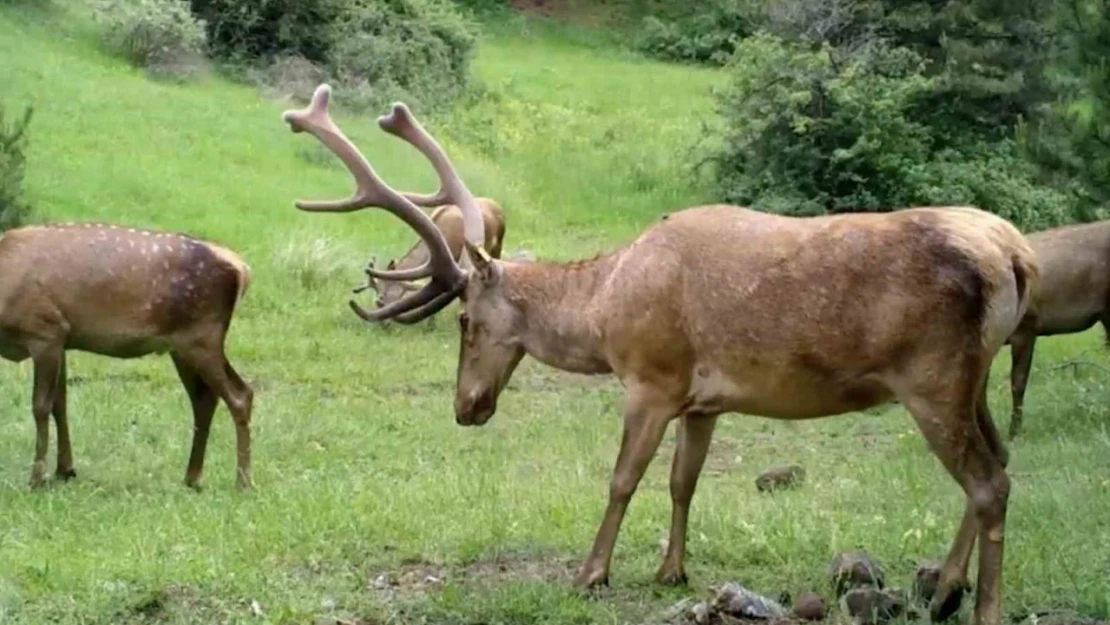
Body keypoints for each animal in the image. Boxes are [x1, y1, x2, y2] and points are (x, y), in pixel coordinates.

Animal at [0, 222, 254, 490]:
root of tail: (243, 270)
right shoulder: (62, 340)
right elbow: (60, 404)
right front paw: (64, 470)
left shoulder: (45, 331)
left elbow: (40, 407)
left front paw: (37, 479)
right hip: (183, 345)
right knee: (205, 398)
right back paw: (192, 478)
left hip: (202, 336)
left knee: (239, 395)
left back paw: (243, 482)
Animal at [284, 84, 1038, 625]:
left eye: (466, 320)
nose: (466, 408)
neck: (605, 309)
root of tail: (1016, 255)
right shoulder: (702, 398)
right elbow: (683, 481)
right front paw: (671, 568)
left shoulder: (651, 376)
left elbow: (623, 478)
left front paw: (592, 573)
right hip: (972, 377)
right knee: (1000, 460)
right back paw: (944, 591)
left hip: (932, 376)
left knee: (988, 482)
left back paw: (983, 605)